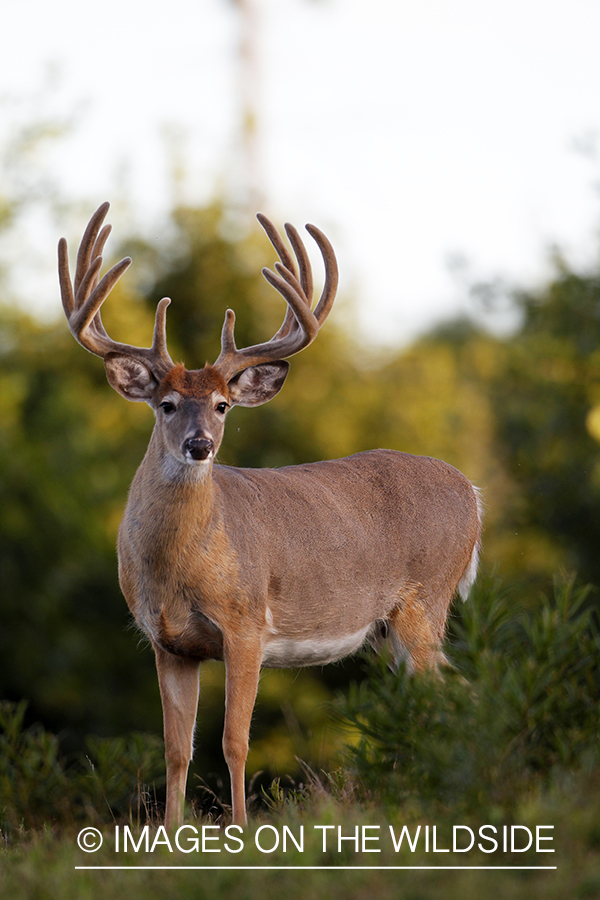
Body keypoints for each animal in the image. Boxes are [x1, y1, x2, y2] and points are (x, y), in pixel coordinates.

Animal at [58, 200, 482, 828]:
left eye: (222, 405)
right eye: (166, 404)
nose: (200, 445)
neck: (179, 568)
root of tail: (473, 492)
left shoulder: (246, 625)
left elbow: (234, 741)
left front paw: (237, 827)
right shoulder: (167, 643)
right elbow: (177, 748)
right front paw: (172, 832)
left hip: (426, 599)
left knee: (448, 694)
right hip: (388, 630)